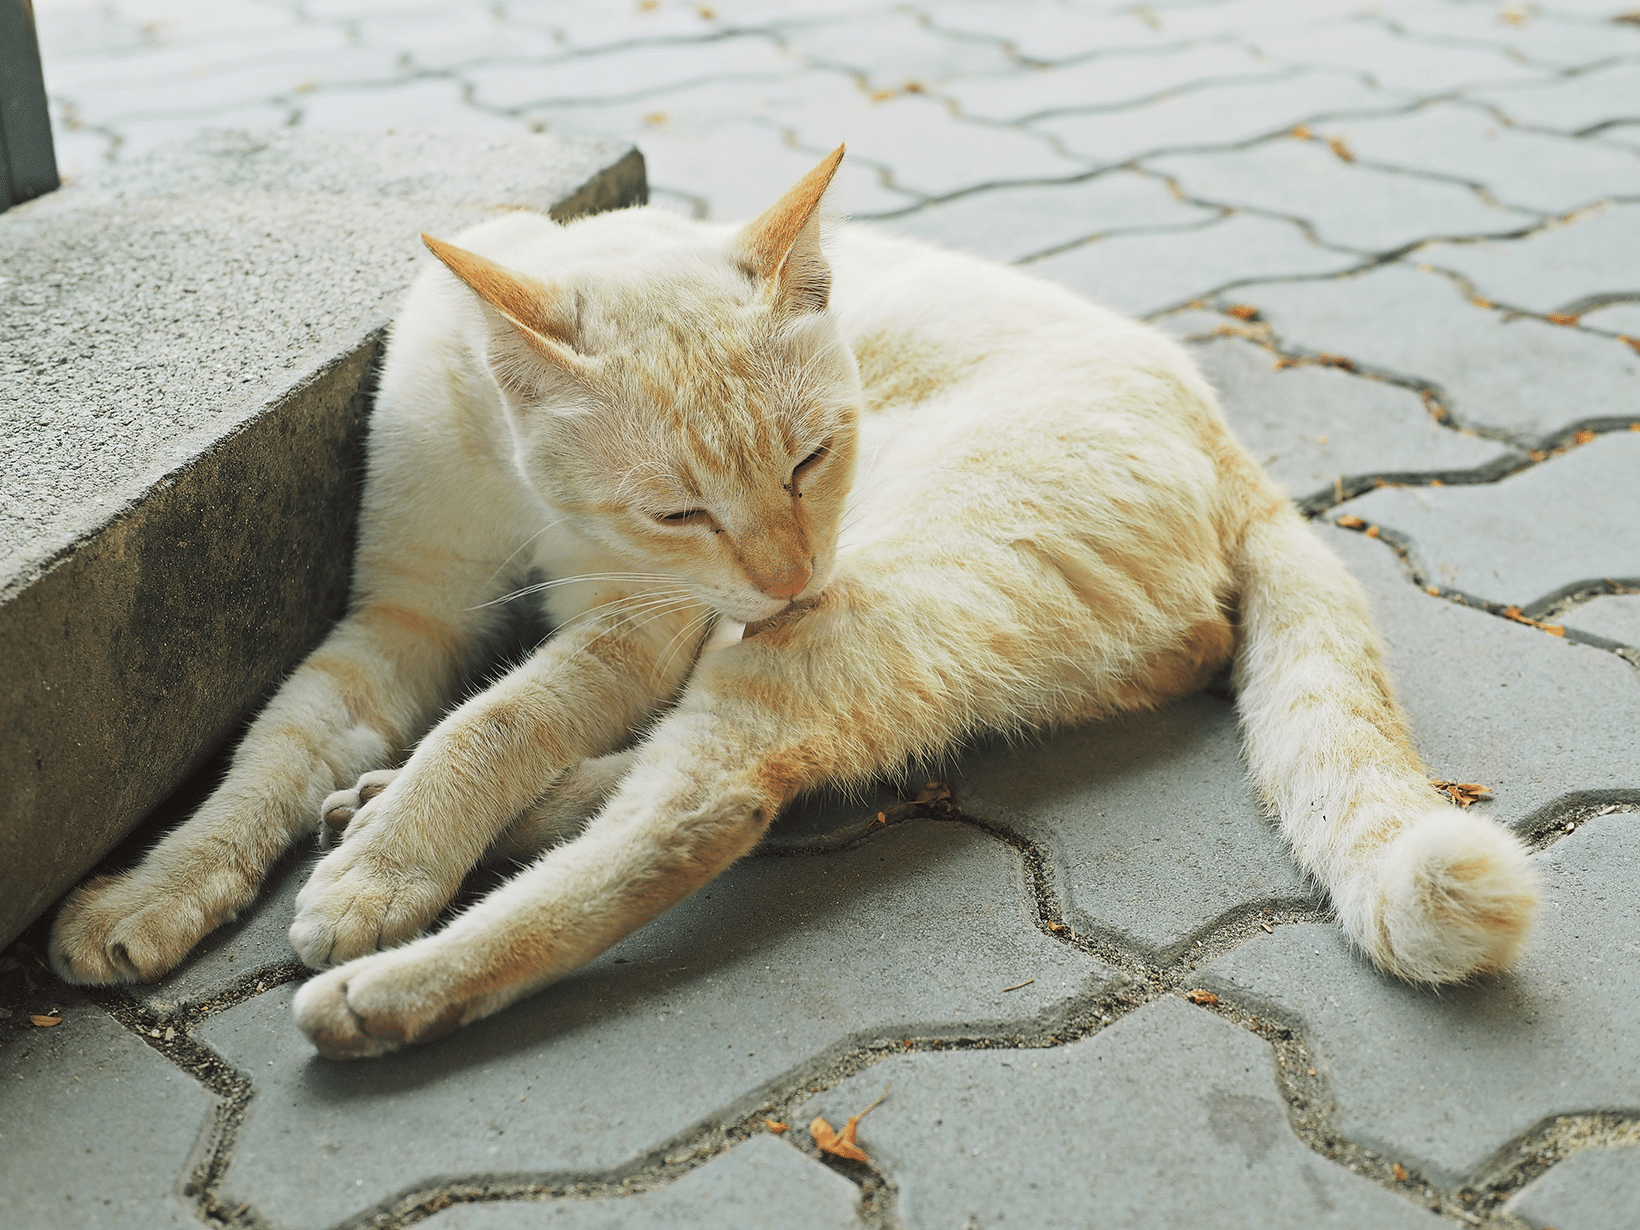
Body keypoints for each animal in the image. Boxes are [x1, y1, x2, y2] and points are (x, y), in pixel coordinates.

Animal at [51, 146, 1535, 1062]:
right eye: (680, 507)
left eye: (814, 458)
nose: (779, 573)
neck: (535, 499)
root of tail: (1238, 452)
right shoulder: (397, 621)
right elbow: (271, 753)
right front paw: (162, 890)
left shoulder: (641, 628)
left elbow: (497, 722)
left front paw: (386, 874)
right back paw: (379, 815)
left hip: (843, 623)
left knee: (707, 806)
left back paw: (388, 983)